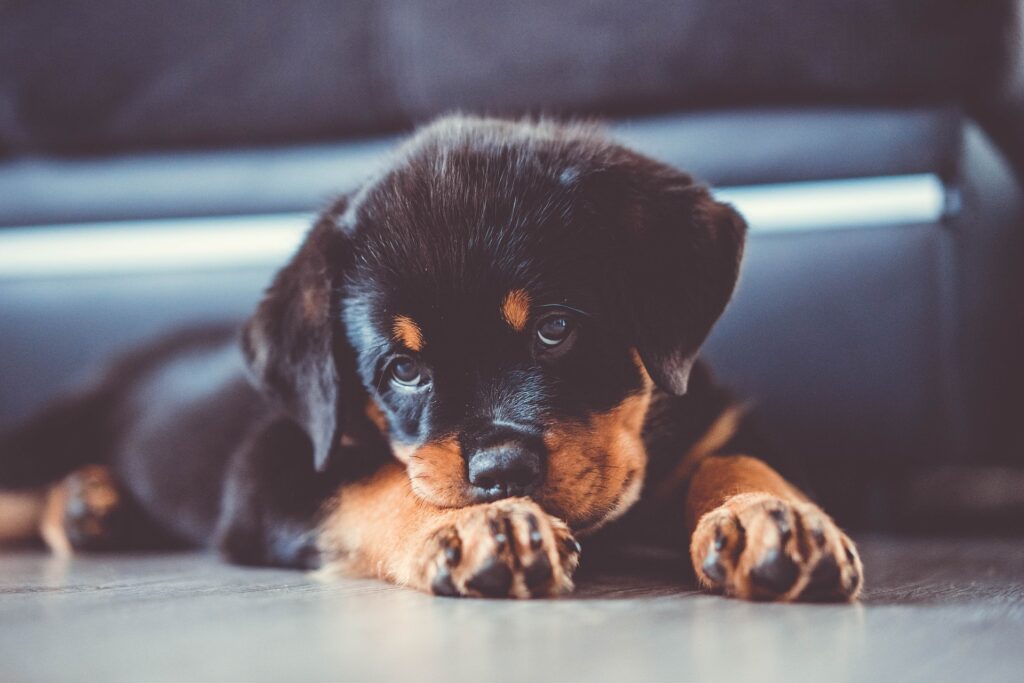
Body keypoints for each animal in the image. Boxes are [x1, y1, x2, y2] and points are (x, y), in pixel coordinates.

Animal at [0, 117, 864, 602]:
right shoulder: (273, 466)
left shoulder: (724, 421)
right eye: (403, 370)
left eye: (555, 329)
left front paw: (773, 519)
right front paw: (480, 526)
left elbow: (739, 459)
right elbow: (383, 483)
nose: (503, 470)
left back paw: (92, 508)